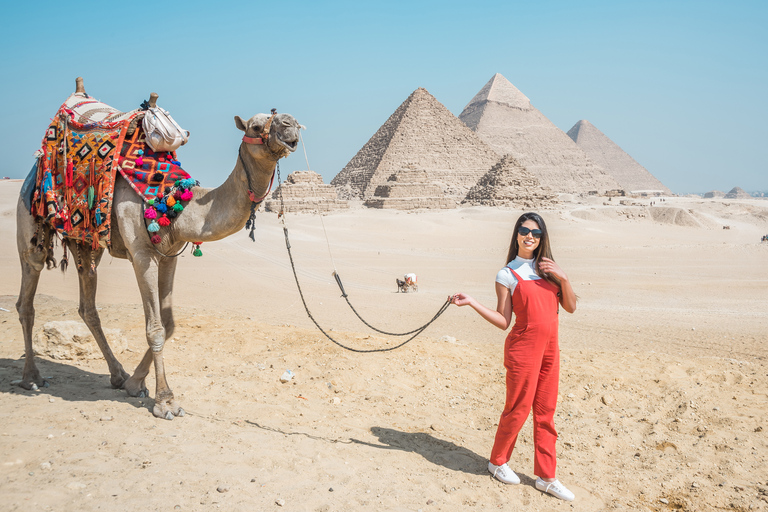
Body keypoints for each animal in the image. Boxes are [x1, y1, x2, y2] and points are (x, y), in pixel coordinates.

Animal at [17, 79, 300, 416]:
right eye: (257, 126)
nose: (291, 124)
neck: (175, 203)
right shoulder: (142, 255)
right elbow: (155, 328)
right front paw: (165, 400)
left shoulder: (169, 255)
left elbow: (169, 323)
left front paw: (134, 384)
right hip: (30, 220)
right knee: (27, 296)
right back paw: (32, 378)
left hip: (87, 243)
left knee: (88, 304)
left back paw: (117, 374)